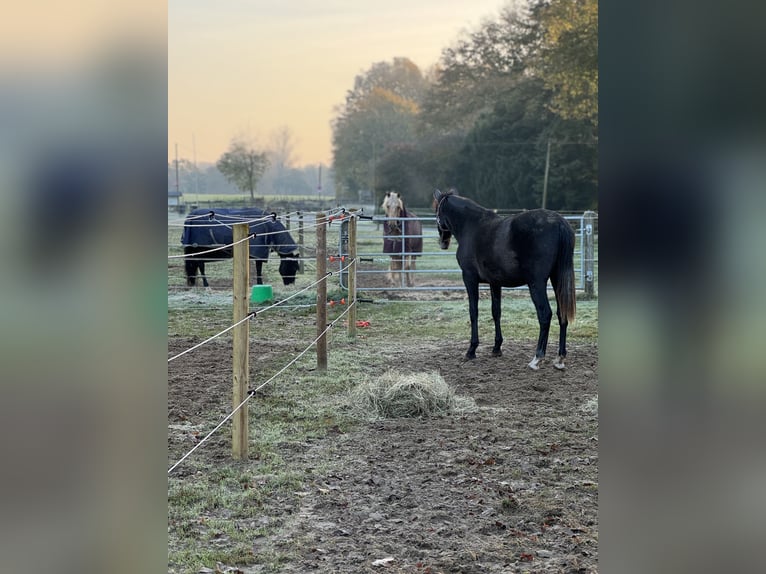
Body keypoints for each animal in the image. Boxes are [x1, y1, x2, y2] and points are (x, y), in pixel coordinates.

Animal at [436, 189, 580, 368]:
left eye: (438, 211)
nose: (443, 242)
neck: (472, 226)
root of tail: (559, 222)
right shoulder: (495, 283)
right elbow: (496, 312)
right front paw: (496, 348)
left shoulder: (469, 278)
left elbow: (473, 311)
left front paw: (471, 350)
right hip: (557, 279)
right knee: (562, 314)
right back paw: (560, 358)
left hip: (537, 283)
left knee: (545, 314)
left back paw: (537, 357)